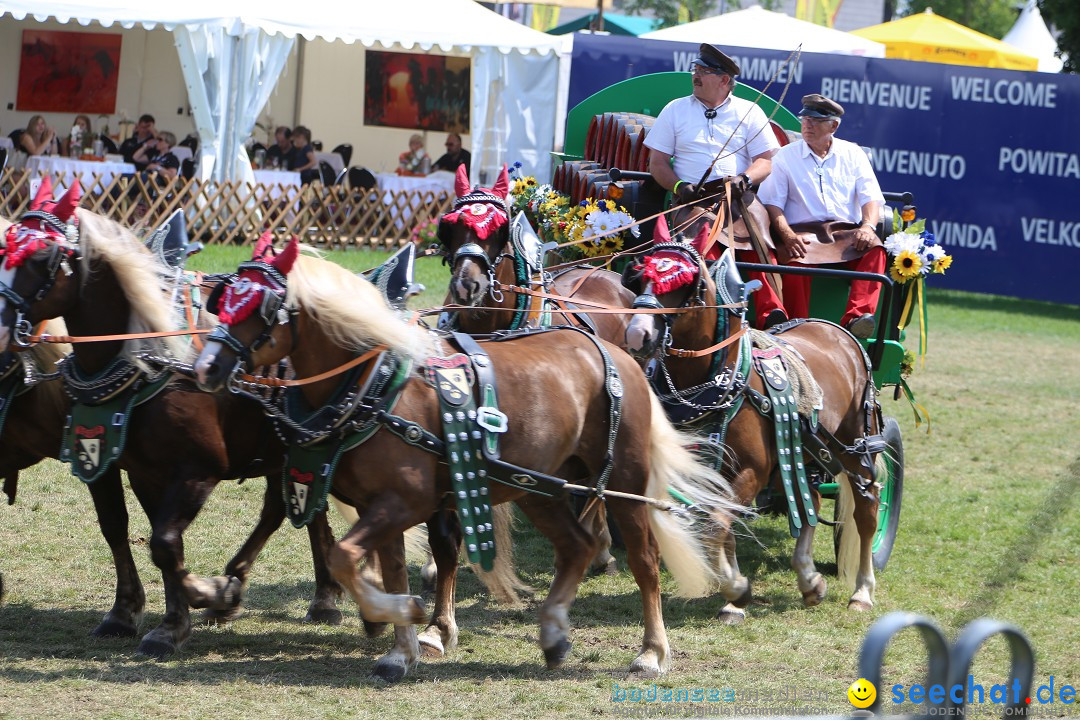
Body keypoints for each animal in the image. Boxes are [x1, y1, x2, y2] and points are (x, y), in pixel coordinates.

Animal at [0, 183, 341, 656]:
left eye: (40, 258)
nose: (0, 328)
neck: (149, 359)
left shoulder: (198, 470)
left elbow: (163, 542)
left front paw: (191, 607)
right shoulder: (135, 469)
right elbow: (138, 534)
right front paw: (145, 616)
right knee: (288, 508)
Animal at [626, 221, 885, 621]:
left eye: (685, 283)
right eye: (639, 278)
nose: (638, 334)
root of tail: (838, 331)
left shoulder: (751, 470)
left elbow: (716, 527)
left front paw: (737, 589)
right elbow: (723, 529)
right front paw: (734, 597)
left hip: (855, 442)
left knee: (867, 506)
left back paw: (862, 591)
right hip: (799, 451)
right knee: (810, 500)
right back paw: (809, 579)